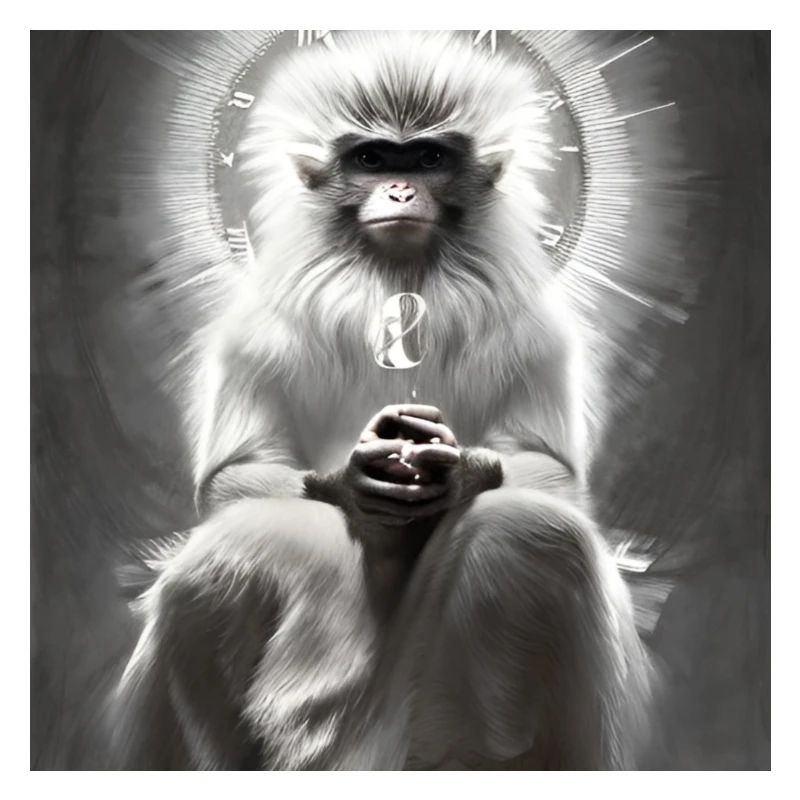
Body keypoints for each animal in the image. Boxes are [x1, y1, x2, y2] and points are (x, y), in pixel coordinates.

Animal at [111, 31, 653, 770]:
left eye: (427, 159)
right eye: (370, 160)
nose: (399, 189)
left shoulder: (538, 328)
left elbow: (554, 475)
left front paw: (462, 472)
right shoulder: (253, 327)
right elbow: (232, 479)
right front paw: (351, 479)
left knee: (533, 534)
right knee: (223, 563)